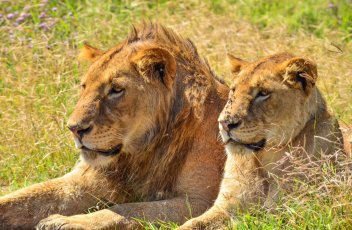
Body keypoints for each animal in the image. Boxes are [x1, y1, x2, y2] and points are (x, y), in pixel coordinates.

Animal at [0, 22, 228, 229]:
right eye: (84, 86)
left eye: (116, 89)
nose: (74, 128)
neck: (141, 153)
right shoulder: (83, 180)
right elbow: (23, 199)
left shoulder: (200, 201)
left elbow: (129, 209)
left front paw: (63, 221)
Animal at [180, 52, 346, 230]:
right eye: (233, 91)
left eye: (263, 93)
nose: (224, 123)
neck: (265, 159)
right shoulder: (226, 206)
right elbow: (192, 222)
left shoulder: (287, 211)